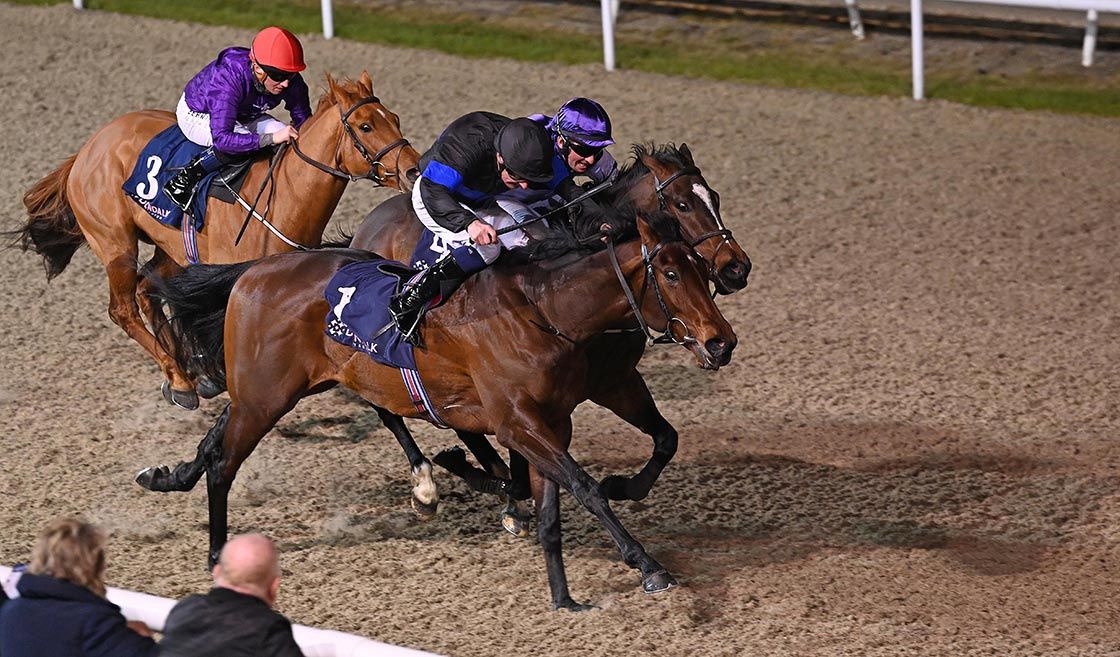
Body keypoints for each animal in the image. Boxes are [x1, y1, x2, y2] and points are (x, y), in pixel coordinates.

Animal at [9, 73, 421, 411]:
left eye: (395, 118)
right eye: (365, 126)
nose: (413, 169)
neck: (283, 198)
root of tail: (88, 148)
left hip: (173, 248)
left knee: (147, 290)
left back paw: (188, 372)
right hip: (116, 245)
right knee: (123, 308)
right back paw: (179, 378)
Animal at [137, 217, 734, 613]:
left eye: (701, 269)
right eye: (671, 275)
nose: (720, 341)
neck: (542, 310)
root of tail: (256, 270)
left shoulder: (551, 422)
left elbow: (552, 509)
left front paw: (564, 598)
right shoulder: (519, 423)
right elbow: (585, 488)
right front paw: (647, 565)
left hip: (275, 390)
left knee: (219, 440)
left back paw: (168, 475)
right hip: (265, 397)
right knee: (224, 466)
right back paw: (218, 555)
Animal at [349, 144, 752, 535]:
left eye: (715, 197)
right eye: (683, 204)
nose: (737, 267)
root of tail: (365, 228)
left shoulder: (614, 380)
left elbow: (666, 439)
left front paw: (620, 486)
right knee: (387, 406)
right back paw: (426, 488)